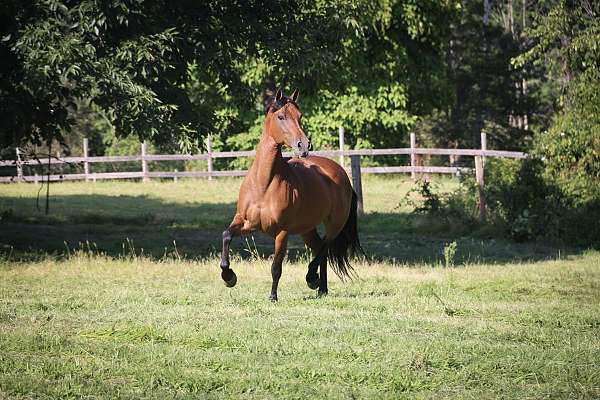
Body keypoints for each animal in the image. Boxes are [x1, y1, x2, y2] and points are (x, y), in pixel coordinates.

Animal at [220, 88, 360, 300]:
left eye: (299, 116)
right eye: (281, 116)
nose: (304, 146)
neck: (263, 184)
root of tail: (340, 172)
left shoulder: (282, 232)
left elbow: (276, 266)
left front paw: (272, 296)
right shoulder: (246, 222)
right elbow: (226, 235)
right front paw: (229, 276)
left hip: (334, 225)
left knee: (324, 248)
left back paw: (313, 278)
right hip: (307, 229)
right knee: (320, 248)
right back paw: (322, 288)